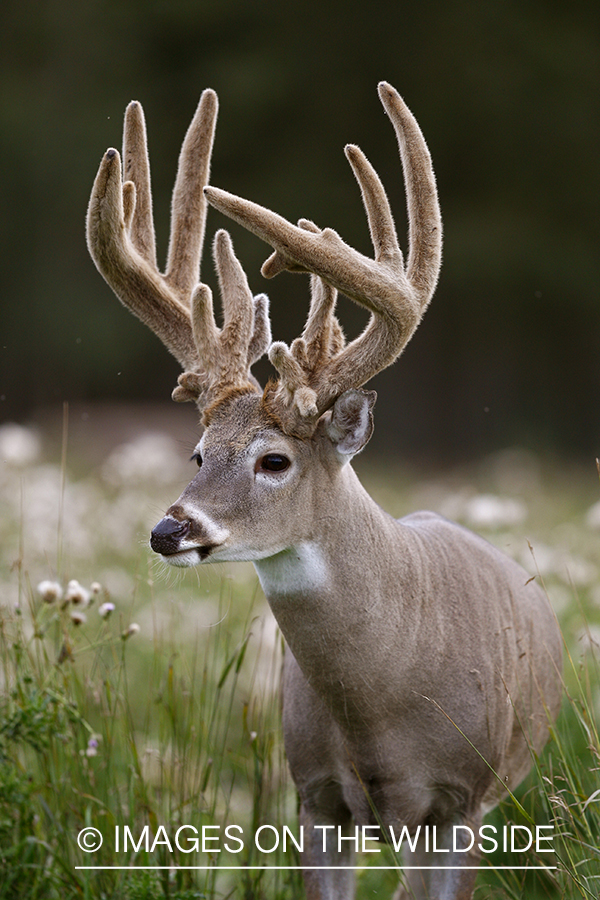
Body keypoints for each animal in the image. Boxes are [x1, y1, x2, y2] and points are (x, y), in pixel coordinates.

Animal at [86, 81, 564, 896]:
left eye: (275, 461)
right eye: (198, 452)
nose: (168, 530)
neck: (382, 700)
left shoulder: (458, 801)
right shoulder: (315, 797)